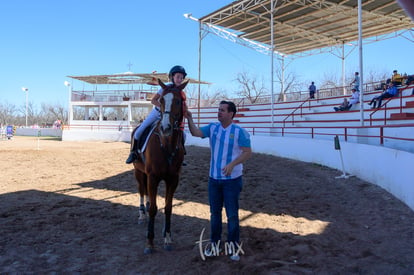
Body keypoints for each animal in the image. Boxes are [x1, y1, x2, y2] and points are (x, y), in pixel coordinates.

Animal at [132, 78, 187, 256]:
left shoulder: (173, 179)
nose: (165, 128)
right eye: (161, 100)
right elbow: (154, 210)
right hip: (138, 172)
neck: (167, 145)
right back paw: (141, 215)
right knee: (142, 192)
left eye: (179, 101)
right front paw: (149, 242)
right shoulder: (153, 177)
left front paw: (167, 238)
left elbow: (168, 208)